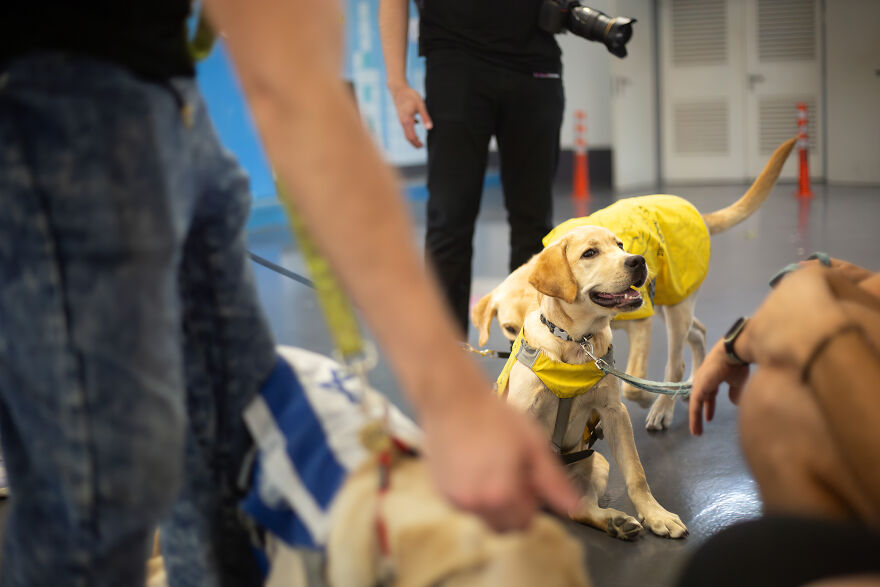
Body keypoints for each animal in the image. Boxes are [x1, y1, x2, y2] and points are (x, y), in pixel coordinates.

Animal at [474, 138, 796, 432]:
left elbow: (630, 385)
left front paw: (644, 399)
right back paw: (692, 382)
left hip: (674, 307)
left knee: (675, 362)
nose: (637, 261)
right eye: (510, 329)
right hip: (667, 304)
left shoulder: (641, 322)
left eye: (618, 245)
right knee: (699, 332)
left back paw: (663, 406)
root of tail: (693, 211)